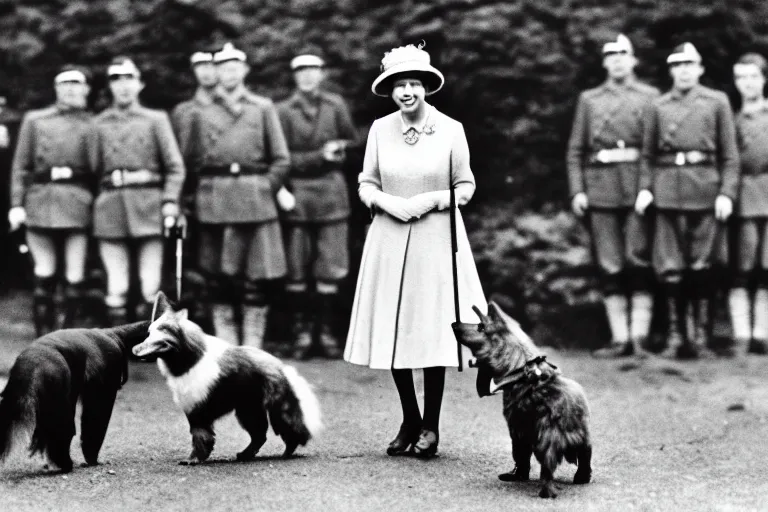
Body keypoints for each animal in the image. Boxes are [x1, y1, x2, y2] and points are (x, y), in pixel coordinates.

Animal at [0, 320, 150, 472]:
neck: (115, 335)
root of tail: (30, 364)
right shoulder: (111, 364)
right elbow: (96, 415)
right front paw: (92, 457)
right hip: (55, 376)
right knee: (64, 424)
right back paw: (65, 462)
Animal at [132, 292, 320, 464]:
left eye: (160, 332)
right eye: (148, 333)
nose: (135, 349)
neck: (190, 359)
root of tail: (281, 366)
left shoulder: (197, 411)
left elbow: (200, 437)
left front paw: (193, 459)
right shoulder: (196, 410)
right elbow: (203, 436)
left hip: (273, 410)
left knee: (290, 432)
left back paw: (285, 454)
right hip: (248, 411)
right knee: (260, 435)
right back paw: (246, 455)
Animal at [450, 302, 592, 498]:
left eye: (480, 326)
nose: (453, 323)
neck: (521, 368)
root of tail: (562, 414)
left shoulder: (517, 431)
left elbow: (520, 458)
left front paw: (517, 476)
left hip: (545, 444)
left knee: (546, 472)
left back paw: (545, 492)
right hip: (583, 438)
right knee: (586, 457)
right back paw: (582, 478)